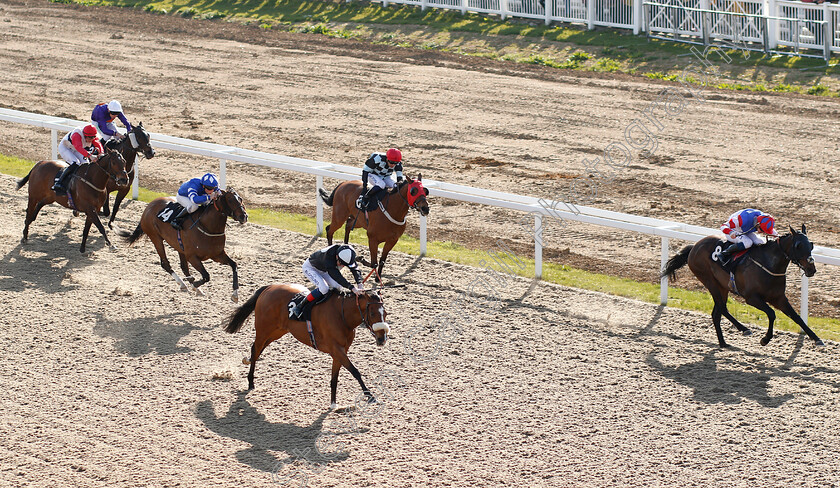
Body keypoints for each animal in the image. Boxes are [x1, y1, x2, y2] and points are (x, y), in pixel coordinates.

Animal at [120, 188, 248, 300]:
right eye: (230, 200)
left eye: (241, 199)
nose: (244, 216)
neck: (207, 226)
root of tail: (150, 205)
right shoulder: (192, 257)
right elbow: (206, 276)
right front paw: (194, 284)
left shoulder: (217, 255)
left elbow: (234, 265)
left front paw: (235, 295)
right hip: (155, 238)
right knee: (165, 263)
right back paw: (183, 284)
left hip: (179, 247)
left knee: (183, 267)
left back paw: (196, 289)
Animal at [225, 286, 392, 408]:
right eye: (372, 313)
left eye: (386, 313)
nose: (382, 339)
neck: (341, 314)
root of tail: (269, 287)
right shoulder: (336, 349)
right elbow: (355, 371)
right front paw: (370, 397)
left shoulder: (339, 351)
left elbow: (335, 377)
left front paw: (333, 403)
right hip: (264, 330)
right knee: (256, 349)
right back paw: (250, 382)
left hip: (277, 332)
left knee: (258, 350)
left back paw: (247, 363)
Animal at [664, 227, 820, 348]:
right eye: (798, 245)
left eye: (811, 245)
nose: (811, 269)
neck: (768, 265)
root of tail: (694, 246)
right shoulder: (751, 298)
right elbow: (771, 313)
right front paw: (765, 339)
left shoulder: (779, 298)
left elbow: (797, 318)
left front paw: (817, 339)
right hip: (709, 281)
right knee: (722, 308)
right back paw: (744, 329)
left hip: (722, 287)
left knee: (716, 313)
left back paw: (723, 343)